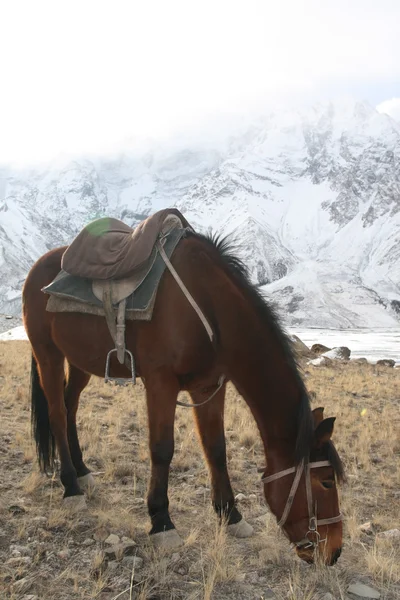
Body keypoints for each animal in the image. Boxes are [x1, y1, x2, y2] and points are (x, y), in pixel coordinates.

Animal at [21, 227, 344, 564]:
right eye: (326, 481)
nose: (334, 551)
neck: (210, 307)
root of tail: (37, 269)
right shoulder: (161, 384)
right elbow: (162, 449)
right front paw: (162, 521)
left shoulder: (210, 387)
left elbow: (216, 448)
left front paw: (231, 515)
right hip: (47, 353)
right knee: (57, 413)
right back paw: (71, 486)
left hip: (80, 361)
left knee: (70, 405)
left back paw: (83, 472)